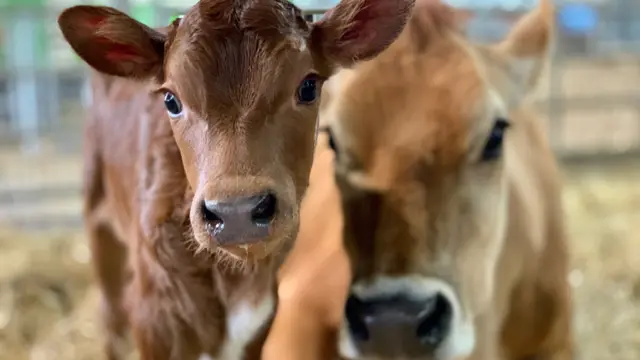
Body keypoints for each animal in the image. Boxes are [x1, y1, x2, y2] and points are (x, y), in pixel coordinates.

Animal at [56, 1, 416, 358]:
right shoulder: (154, 317)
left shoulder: (261, 318)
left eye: (308, 87)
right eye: (171, 100)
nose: (236, 211)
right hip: (99, 224)